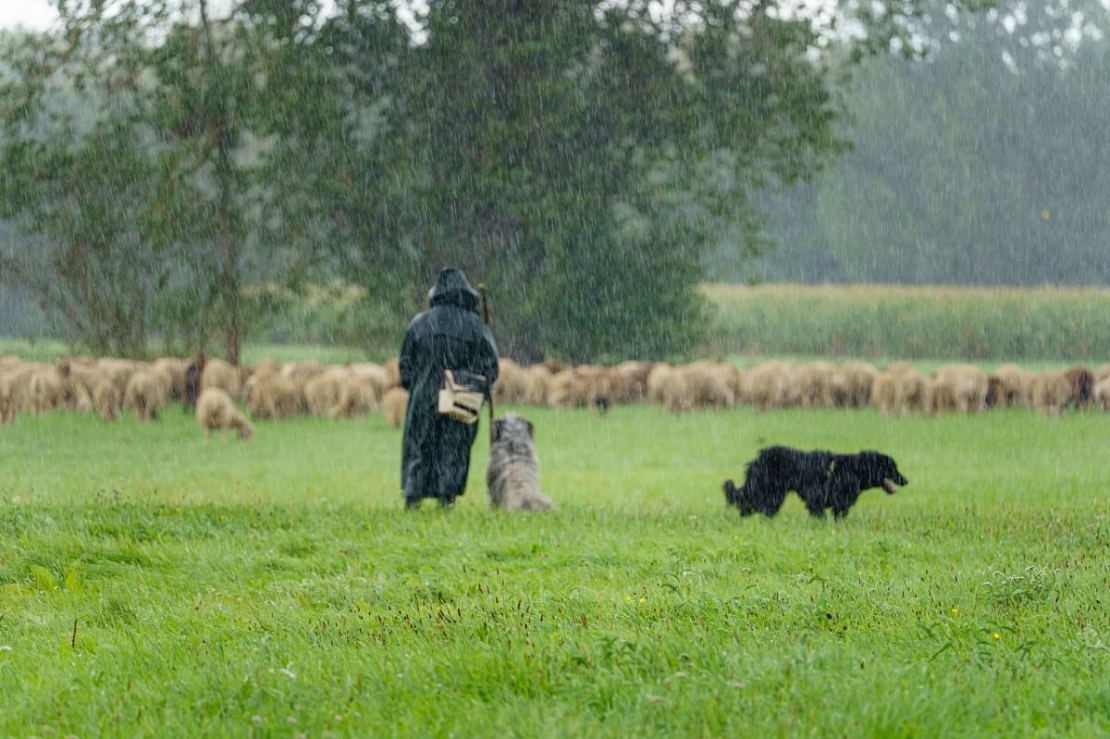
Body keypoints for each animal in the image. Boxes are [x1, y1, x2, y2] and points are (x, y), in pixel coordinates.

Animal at [723, 443, 905, 517]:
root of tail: (757, 459)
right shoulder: (817, 496)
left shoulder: (839, 503)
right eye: (893, 468)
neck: (853, 469)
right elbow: (820, 513)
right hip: (768, 492)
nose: (906, 480)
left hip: (771, 494)